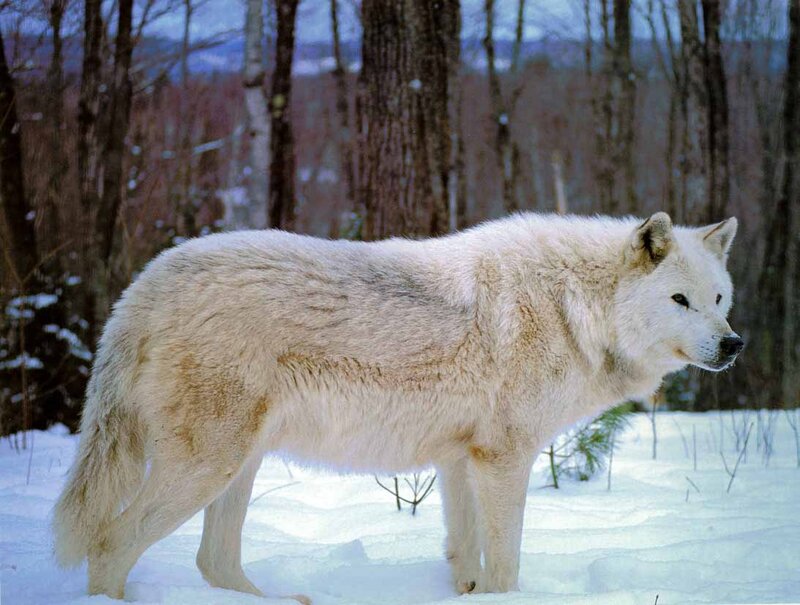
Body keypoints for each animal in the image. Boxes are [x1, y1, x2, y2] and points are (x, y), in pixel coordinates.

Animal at [53, 211, 741, 601]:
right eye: (680, 300)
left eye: (719, 298)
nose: (733, 345)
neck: (574, 307)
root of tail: (143, 286)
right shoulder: (504, 459)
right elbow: (506, 564)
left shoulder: (460, 461)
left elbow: (467, 561)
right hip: (207, 466)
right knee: (111, 543)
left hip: (236, 467)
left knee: (213, 561)